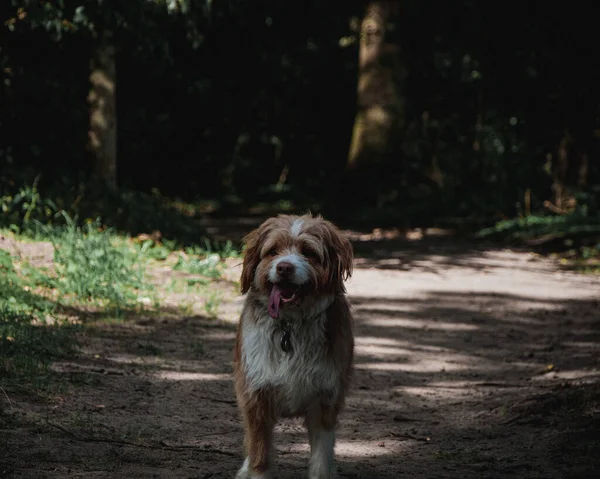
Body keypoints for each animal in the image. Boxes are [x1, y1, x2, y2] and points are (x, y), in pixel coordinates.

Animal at [232, 215, 354, 479]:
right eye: (273, 251)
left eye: (308, 252)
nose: (284, 267)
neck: (290, 325)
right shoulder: (256, 396)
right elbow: (260, 452)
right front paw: (255, 470)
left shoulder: (325, 398)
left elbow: (321, 456)